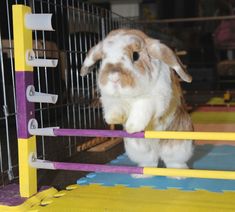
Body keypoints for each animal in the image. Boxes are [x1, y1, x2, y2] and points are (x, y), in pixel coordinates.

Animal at [80, 29, 194, 178]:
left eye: (136, 55)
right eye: (103, 58)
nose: (113, 77)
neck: (130, 95)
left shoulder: (154, 100)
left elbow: (142, 109)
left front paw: (132, 126)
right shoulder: (111, 100)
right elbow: (114, 108)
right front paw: (113, 119)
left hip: (178, 146)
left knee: (173, 161)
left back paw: (178, 175)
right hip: (138, 149)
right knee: (150, 162)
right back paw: (140, 175)